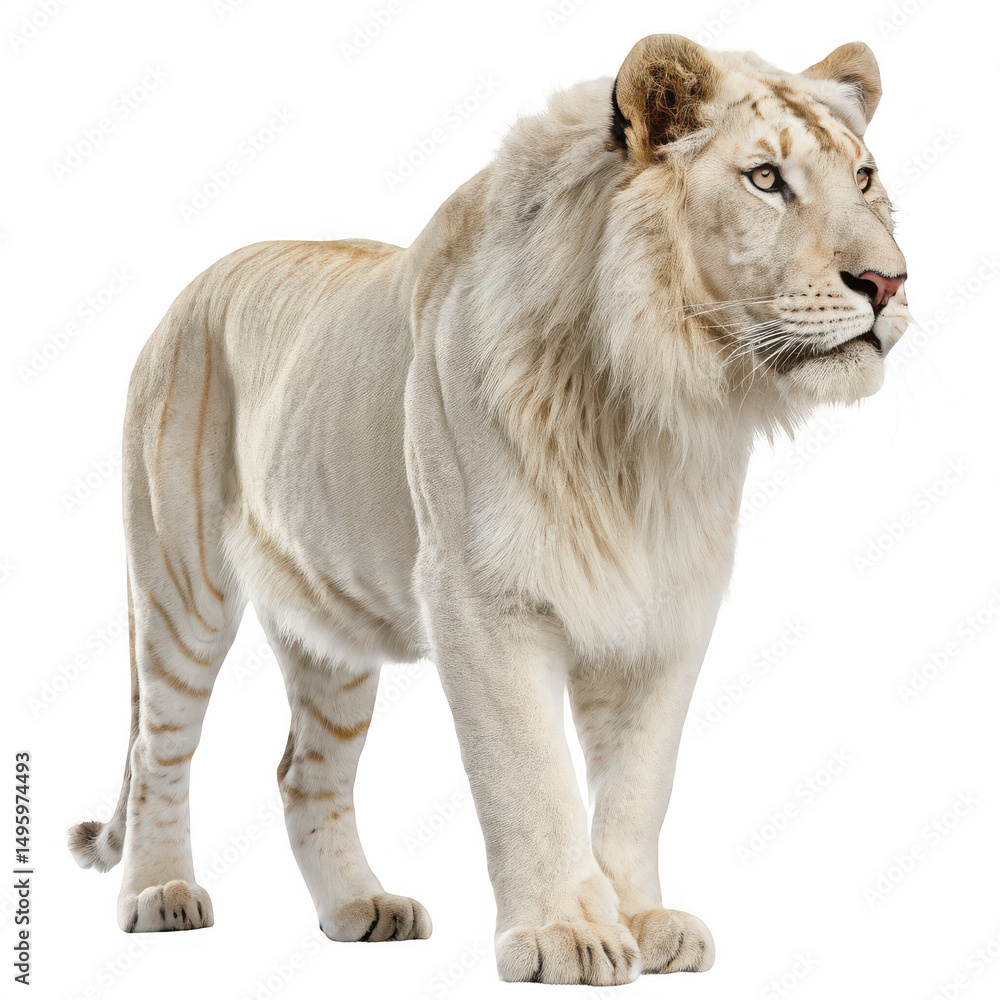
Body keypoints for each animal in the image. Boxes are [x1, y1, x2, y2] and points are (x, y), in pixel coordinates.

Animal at [68, 34, 909, 986]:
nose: (887, 282)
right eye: (766, 179)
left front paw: (642, 920)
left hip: (332, 629)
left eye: (865, 176)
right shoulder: (480, 597)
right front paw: (567, 935)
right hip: (181, 588)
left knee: (303, 772)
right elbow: (529, 777)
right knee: (157, 747)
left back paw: (362, 909)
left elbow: (638, 787)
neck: (656, 408)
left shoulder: (666, 613)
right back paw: (159, 894)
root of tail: (187, 293)